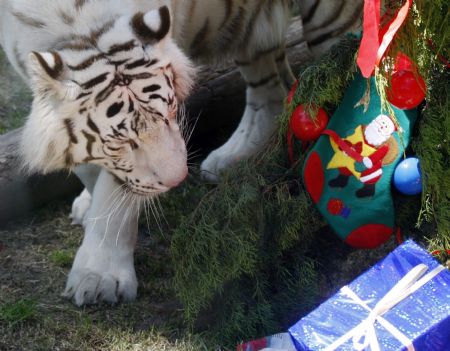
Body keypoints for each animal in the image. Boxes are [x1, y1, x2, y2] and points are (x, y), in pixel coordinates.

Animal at [0, 0, 360, 306]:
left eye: (171, 110)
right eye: (120, 141)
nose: (178, 179)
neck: (80, 30)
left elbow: (117, 193)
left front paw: (99, 277)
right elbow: (88, 167)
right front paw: (89, 208)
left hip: (331, 21)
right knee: (272, 89)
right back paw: (235, 156)